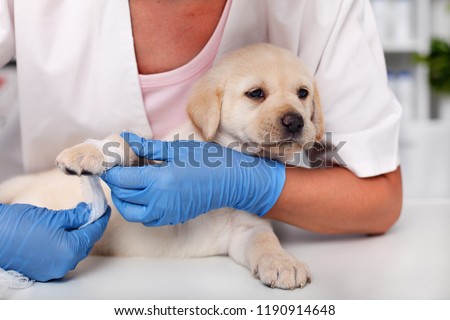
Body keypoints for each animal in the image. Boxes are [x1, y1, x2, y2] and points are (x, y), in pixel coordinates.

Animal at [0, 43, 324, 290]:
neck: (233, 152)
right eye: (256, 93)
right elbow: (124, 143)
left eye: (303, 93)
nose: (295, 121)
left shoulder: (247, 229)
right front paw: (87, 152)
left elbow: (265, 240)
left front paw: (282, 262)